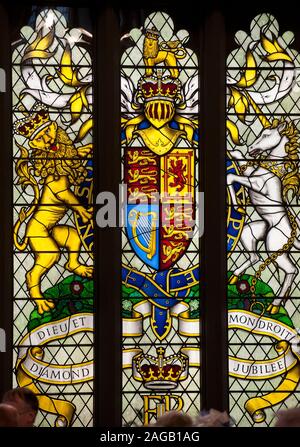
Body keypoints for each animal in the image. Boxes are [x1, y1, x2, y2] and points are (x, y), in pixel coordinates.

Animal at [13, 105, 92, 316]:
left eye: (48, 132)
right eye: (40, 138)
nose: (50, 142)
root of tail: (27, 234)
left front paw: (85, 149)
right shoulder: (59, 188)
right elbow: (68, 196)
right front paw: (83, 211)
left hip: (57, 234)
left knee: (72, 241)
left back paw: (79, 268)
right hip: (44, 245)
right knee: (32, 273)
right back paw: (42, 304)